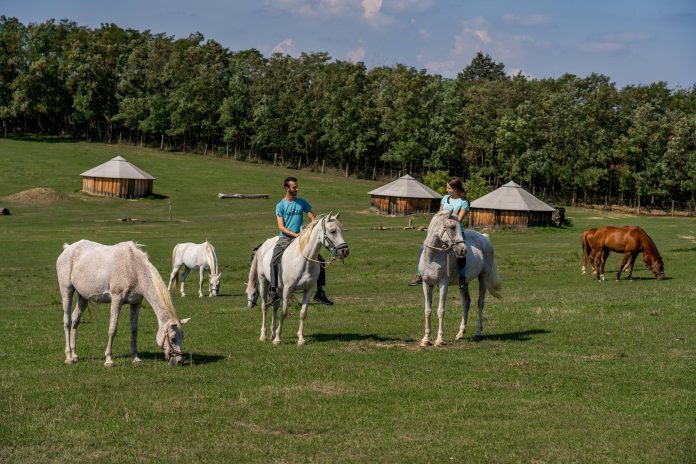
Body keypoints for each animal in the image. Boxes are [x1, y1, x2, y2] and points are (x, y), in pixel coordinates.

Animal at [56, 239, 190, 366]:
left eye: (183, 337)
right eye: (172, 338)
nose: (179, 361)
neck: (134, 268)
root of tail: (68, 249)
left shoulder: (136, 302)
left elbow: (134, 330)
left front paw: (136, 358)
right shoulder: (117, 299)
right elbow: (112, 329)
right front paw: (108, 360)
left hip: (82, 297)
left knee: (75, 320)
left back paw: (74, 354)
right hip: (67, 290)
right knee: (67, 321)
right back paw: (68, 357)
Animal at [247, 213, 350, 344]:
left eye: (341, 230)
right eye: (332, 231)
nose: (345, 251)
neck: (304, 260)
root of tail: (263, 245)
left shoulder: (308, 289)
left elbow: (302, 313)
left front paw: (300, 339)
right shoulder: (288, 289)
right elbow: (284, 313)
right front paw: (278, 339)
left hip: (278, 288)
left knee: (275, 306)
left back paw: (272, 333)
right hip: (263, 281)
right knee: (265, 307)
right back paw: (264, 335)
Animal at [418, 212, 500, 346]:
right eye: (451, 227)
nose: (463, 250)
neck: (432, 258)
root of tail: (484, 238)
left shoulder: (443, 284)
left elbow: (440, 310)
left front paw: (439, 340)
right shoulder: (426, 283)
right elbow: (427, 310)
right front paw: (426, 339)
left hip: (483, 277)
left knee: (480, 303)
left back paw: (478, 333)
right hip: (464, 283)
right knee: (466, 302)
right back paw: (460, 333)